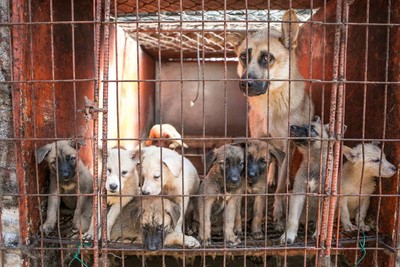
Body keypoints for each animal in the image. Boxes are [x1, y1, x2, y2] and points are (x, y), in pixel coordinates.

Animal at [230, 8, 314, 230]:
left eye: (267, 58)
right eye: (243, 57)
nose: (245, 84)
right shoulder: (257, 141)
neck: (270, 104)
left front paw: (277, 212)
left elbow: (280, 186)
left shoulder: (286, 145)